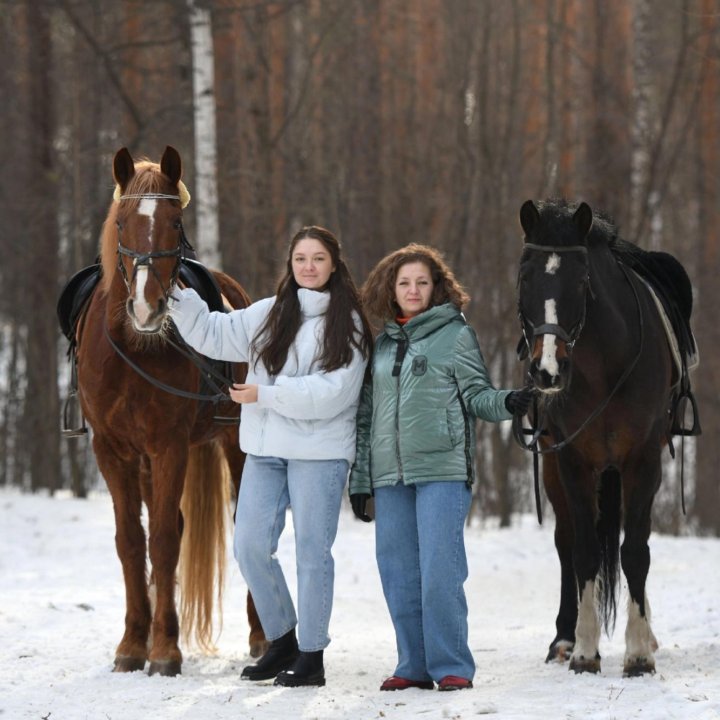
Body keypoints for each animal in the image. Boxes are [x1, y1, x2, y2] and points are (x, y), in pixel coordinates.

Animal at [74, 146, 264, 676]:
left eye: (175, 222)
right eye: (122, 223)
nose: (147, 307)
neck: (133, 349)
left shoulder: (169, 447)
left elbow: (161, 539)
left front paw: (163, 649)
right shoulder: (113, 452)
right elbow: (131, 542)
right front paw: (133, 643)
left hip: (234, 445)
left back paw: (261, 635)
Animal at [516, 197, 696, 676]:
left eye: (581, 281)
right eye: (525, 277)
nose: (547, 371)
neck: (604, 366)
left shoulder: (643, 460)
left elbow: (635, 550)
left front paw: (637, 653)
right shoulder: (573, 461)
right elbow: (584, 551)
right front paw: (583, 650)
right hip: (556, 467)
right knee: (567, 544)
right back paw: (563, 639)